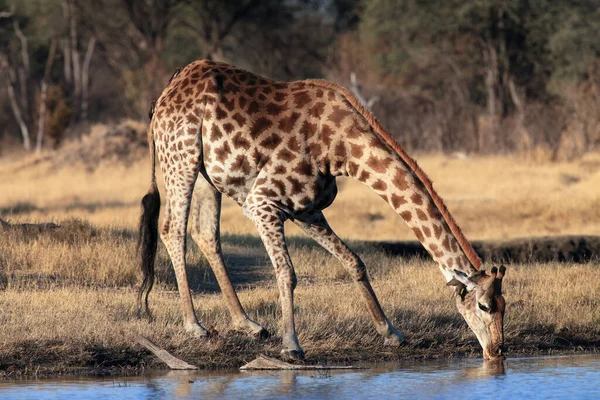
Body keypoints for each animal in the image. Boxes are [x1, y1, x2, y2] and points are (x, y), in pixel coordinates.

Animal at [138, 59, 508, 362]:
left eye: (505, 305)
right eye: (483, 305)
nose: (497, 351)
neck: (342, 148)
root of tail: (165, 92)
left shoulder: (307, 210)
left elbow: (354, 262)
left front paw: (391, 333)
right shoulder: (262, 202)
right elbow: (287, 271)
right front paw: (292, 345)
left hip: (207, 174)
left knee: (205, 234)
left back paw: (248, 324)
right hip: (181, 158)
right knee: (172, 229)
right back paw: (195, 326)